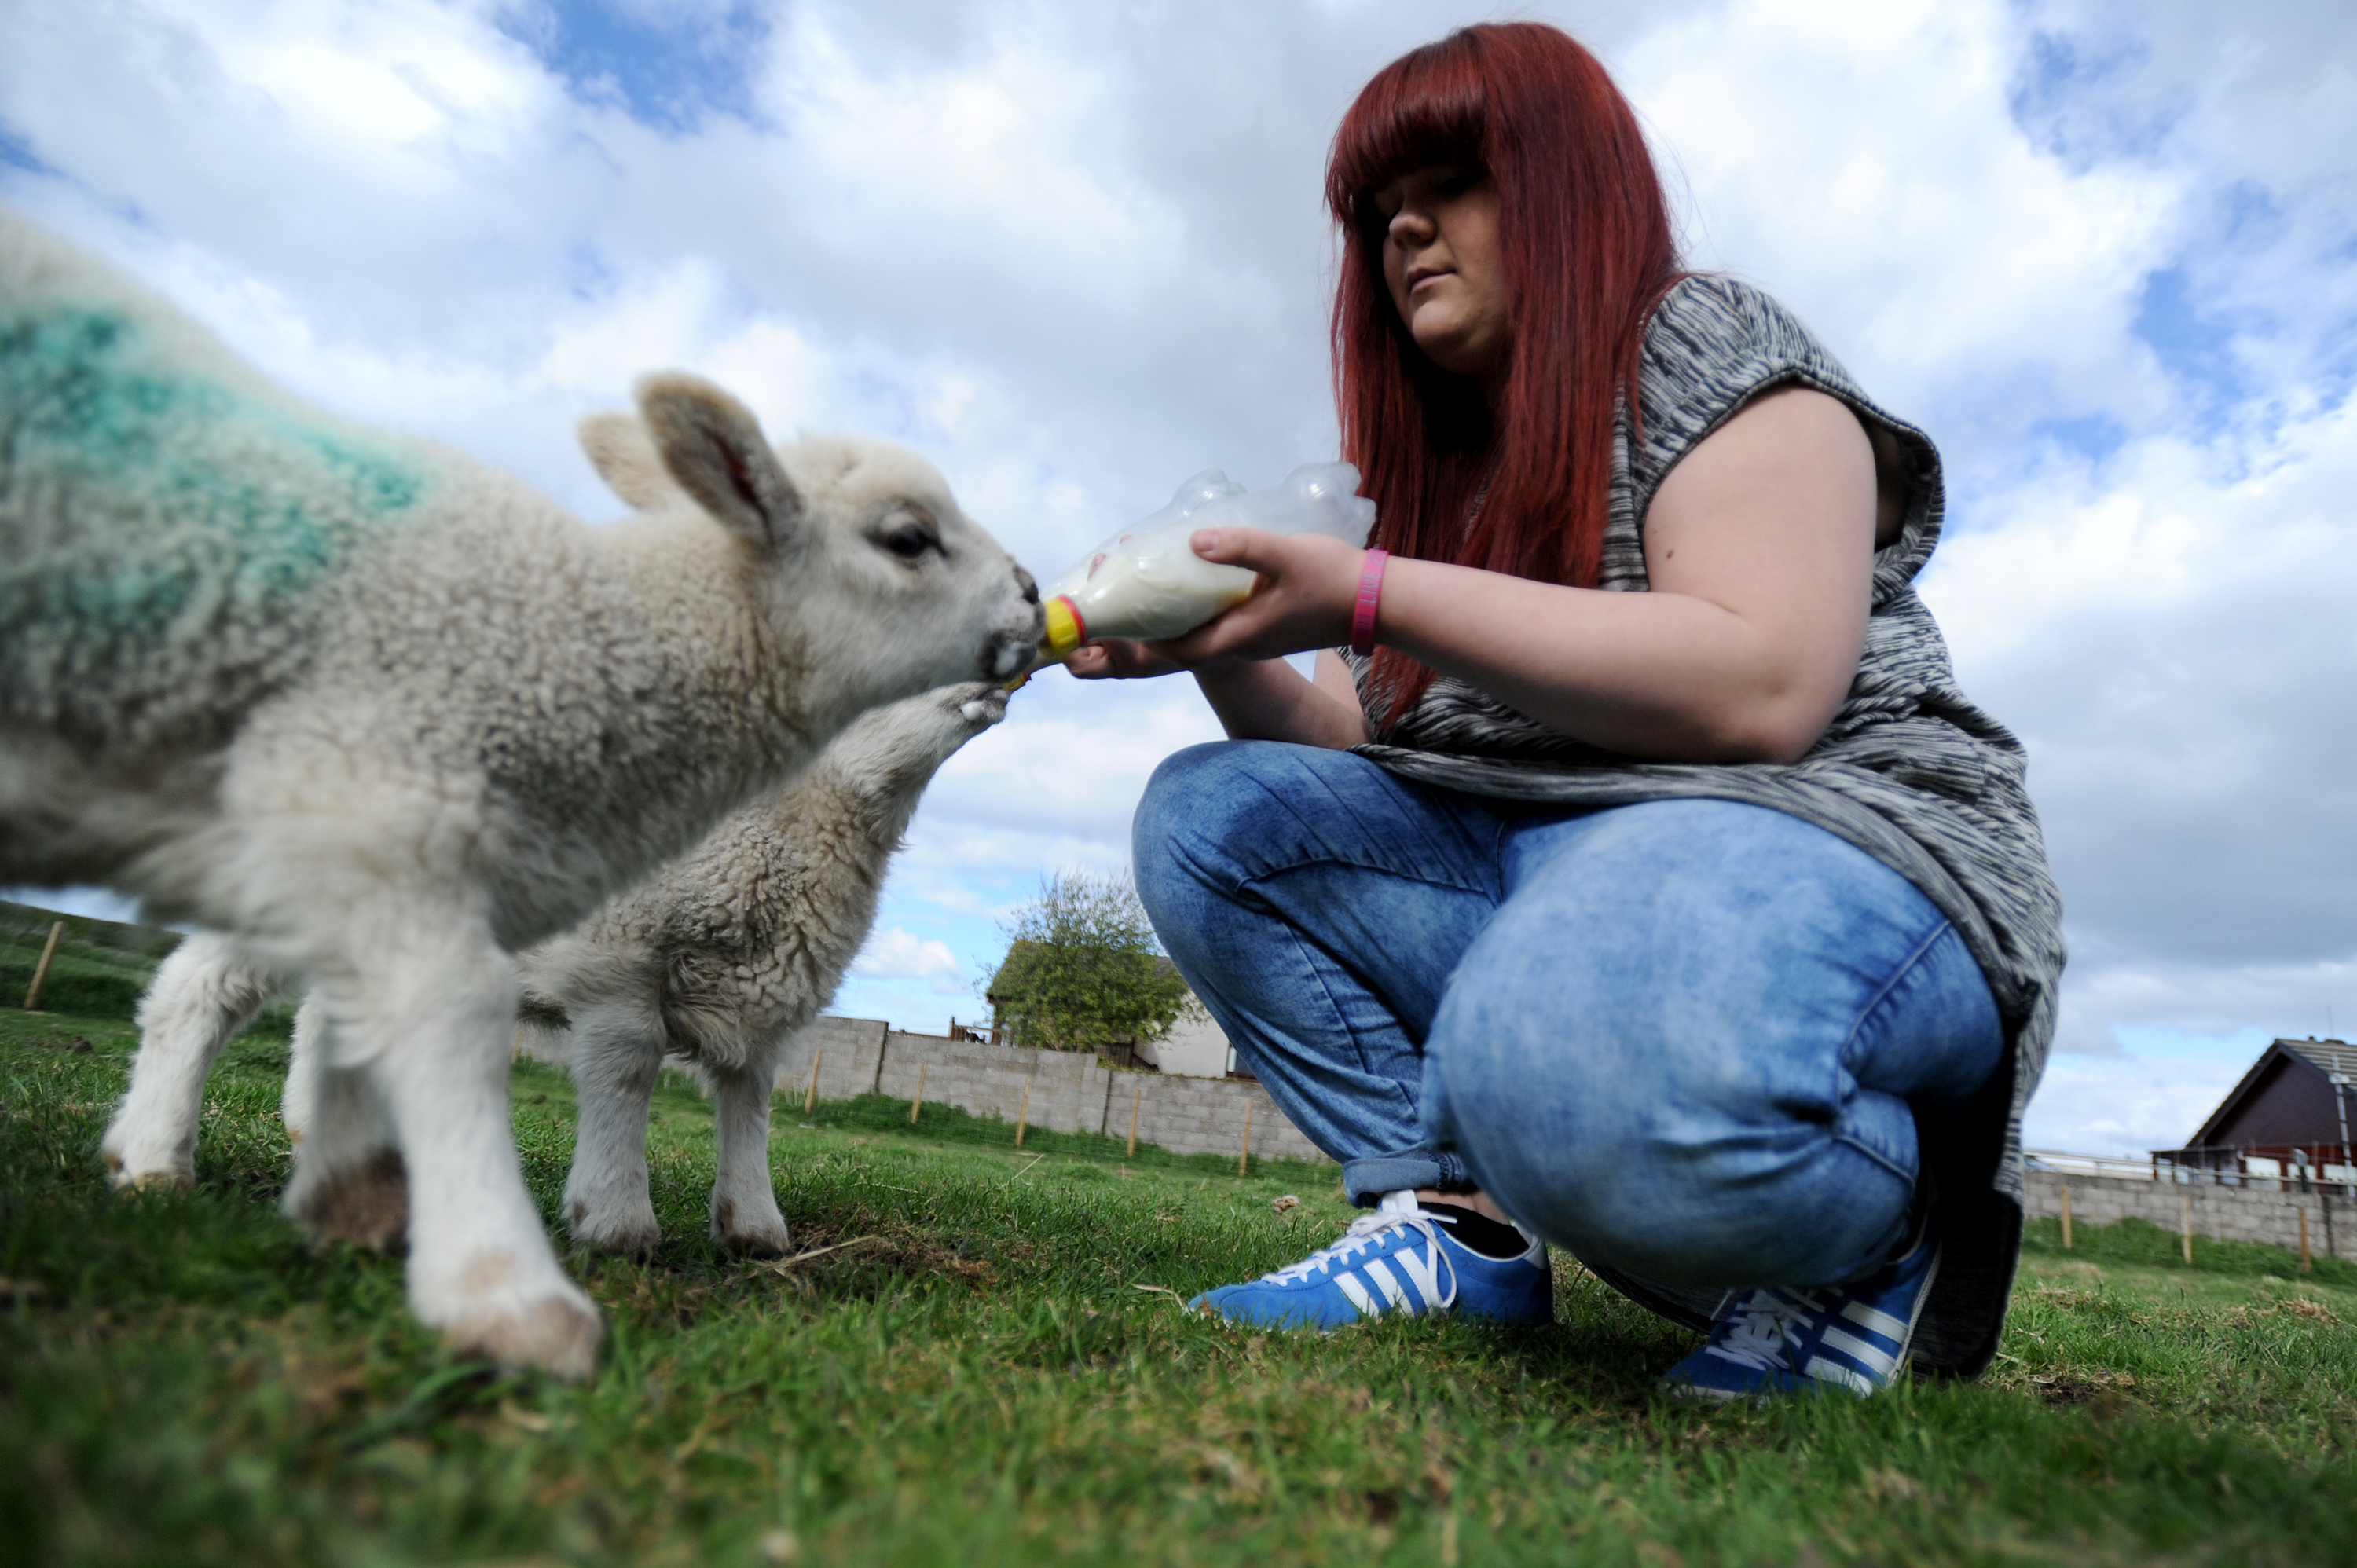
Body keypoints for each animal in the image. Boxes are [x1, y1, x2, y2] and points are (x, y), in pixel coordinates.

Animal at [4, 205, 1042, 1367]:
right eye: (908, 538)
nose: (1036, 612)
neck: (791, 827)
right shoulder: (618, 959)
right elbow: (628, 1070)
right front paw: (615, 1218)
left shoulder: (765, 993)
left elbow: (751, 1093)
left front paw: (755, 1225)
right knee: (201, 988)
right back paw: (153, 1159)